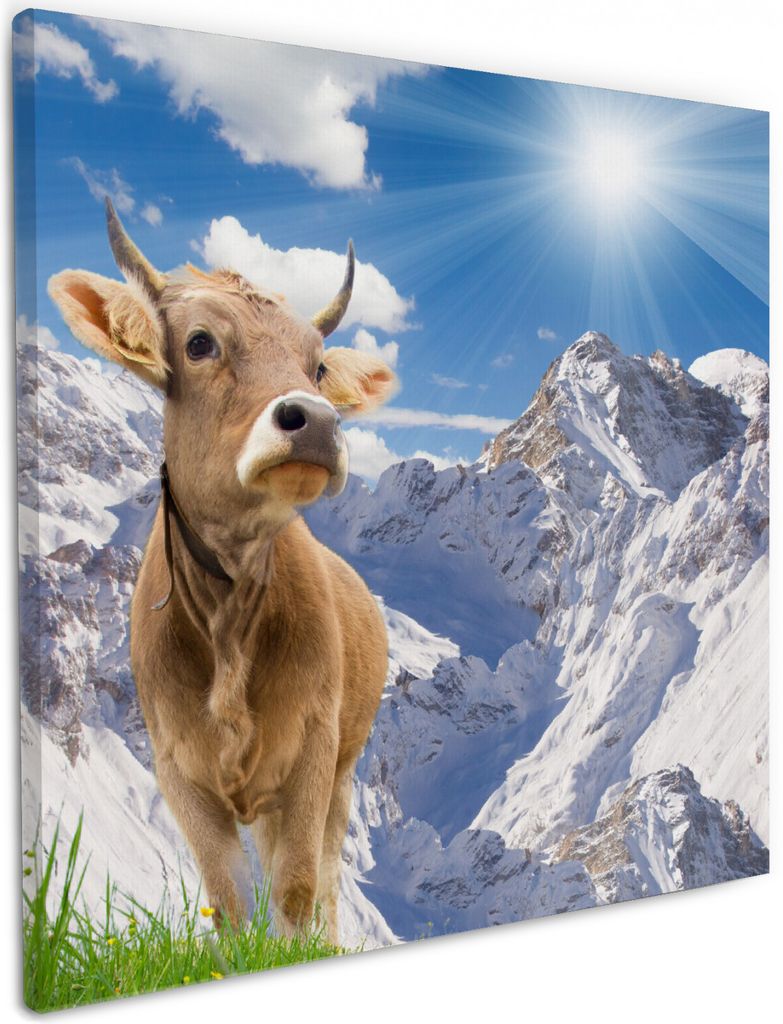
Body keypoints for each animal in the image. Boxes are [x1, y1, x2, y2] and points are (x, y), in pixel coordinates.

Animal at [48, 200, 397, 943]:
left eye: (317, 367)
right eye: (200, 343)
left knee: (326, 878)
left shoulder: (312, 754)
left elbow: (297, 891)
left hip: (344, 769)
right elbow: (231, 903)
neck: (229, 617)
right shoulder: (179, 772)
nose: (315, 421)